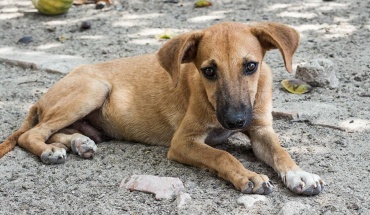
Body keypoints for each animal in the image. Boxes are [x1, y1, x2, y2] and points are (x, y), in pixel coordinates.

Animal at [0, 21, 324, 195]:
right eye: (209, 71)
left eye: (251, 66)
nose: (235, 121)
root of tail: (41, 98)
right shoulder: (183, 142)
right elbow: (221, 155)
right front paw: (249, 176)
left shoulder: (260, 130)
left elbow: (281, 152)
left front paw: (300, 174)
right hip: (93, 89)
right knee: (33, 134)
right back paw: (49, 151)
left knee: (56, 131)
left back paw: (79, 143)